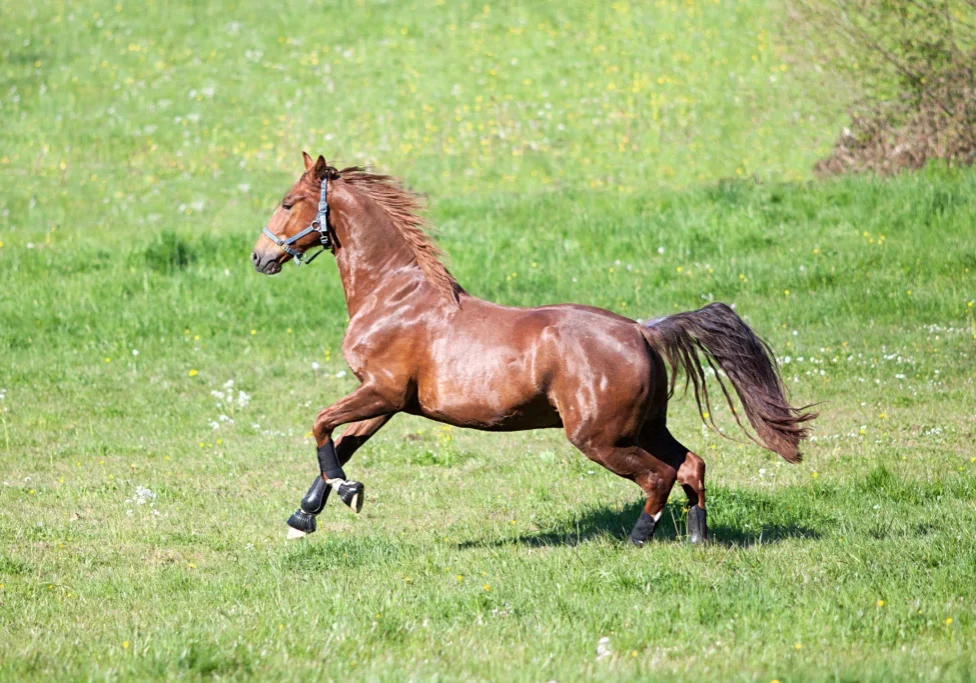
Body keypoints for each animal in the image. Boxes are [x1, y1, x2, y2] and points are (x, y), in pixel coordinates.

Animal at [251, 153, 816, 545]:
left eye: (287, 203)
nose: (259, 257)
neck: (394, 295)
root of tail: (642, 331)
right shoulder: (388, 401)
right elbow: (341, 444)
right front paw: (305, 515)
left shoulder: (381, 392)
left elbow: (321, 426)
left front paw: (344, 494)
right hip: (644, 426)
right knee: (691, 465)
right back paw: (698, 539)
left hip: (598, 437)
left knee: (659, 477)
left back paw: (636, 543)